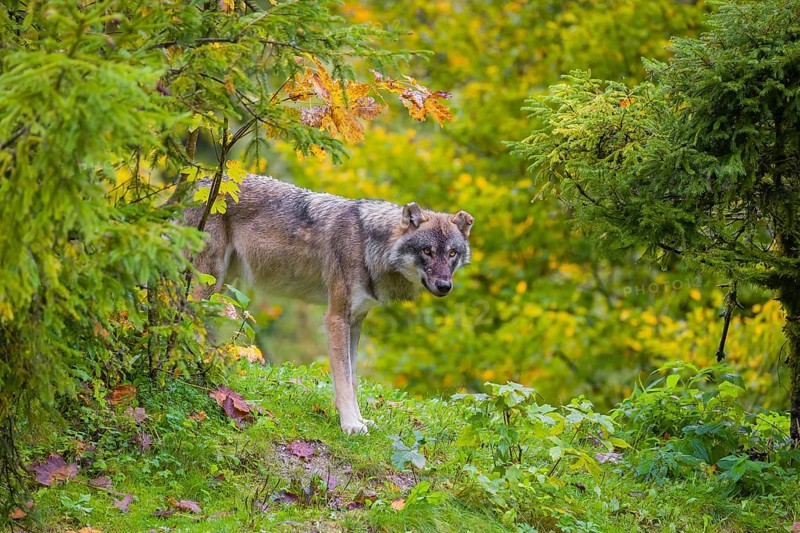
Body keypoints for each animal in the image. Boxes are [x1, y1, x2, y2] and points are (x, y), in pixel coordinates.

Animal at [184, 175, 474, 434]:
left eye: (452, 253)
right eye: (427, 251)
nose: (445, 286)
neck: (369, 247)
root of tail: (196, 183)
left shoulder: (355, 322)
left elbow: (353, 378)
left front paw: (360, 420)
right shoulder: (336, 317)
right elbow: (343, 379)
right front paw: (350, 425)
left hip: (222, 286)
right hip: (209, 282)